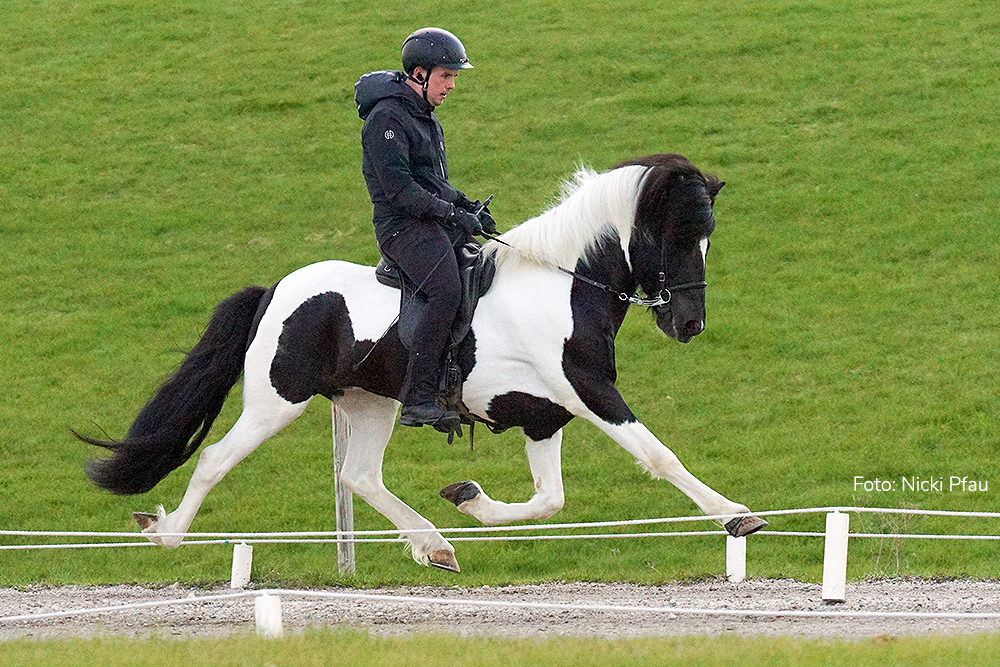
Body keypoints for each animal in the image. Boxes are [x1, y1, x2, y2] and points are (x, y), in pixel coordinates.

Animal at [80, 153, 764, 576]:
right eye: (676, 237)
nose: (689, 325)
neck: (563, 285)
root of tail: (275, 290)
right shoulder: (587, 392)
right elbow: (658, 456)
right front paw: (736, 516)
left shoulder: (543, 416)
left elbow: (549, 500)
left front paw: (468, 498)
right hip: (276, 400)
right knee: (216, 459)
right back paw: (165, 532)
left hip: (371, 402)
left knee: (359, 476)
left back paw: (435, 546)